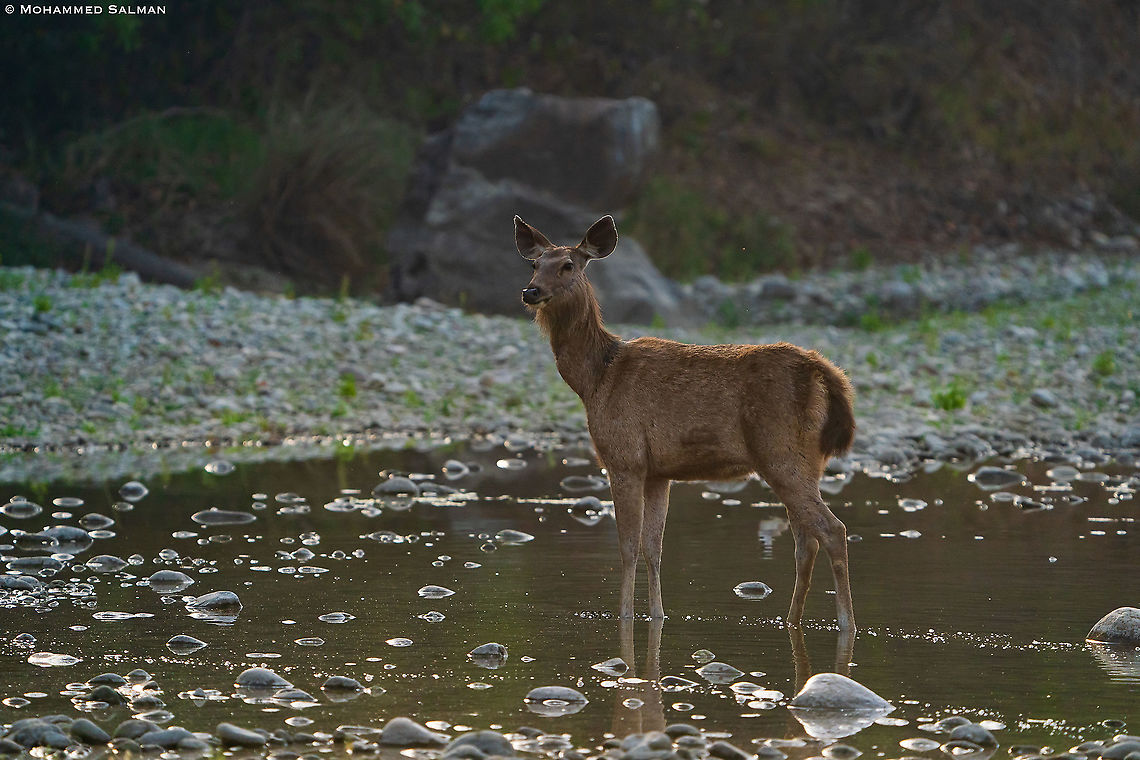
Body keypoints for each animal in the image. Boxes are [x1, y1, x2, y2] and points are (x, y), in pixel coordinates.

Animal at [515, 214, 857, 631]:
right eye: (535, 264)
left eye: (568, 265)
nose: (531, 291)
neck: (596, 379)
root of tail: (825, 372)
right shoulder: (658, 472)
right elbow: (653, 548)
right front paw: (657, 614)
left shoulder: (624, 457)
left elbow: (628, 546)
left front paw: (624, 615)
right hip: (807, 461)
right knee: (806, 539)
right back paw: (792, 619)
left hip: (781, 453)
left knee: (832, 530)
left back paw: (847, 622)